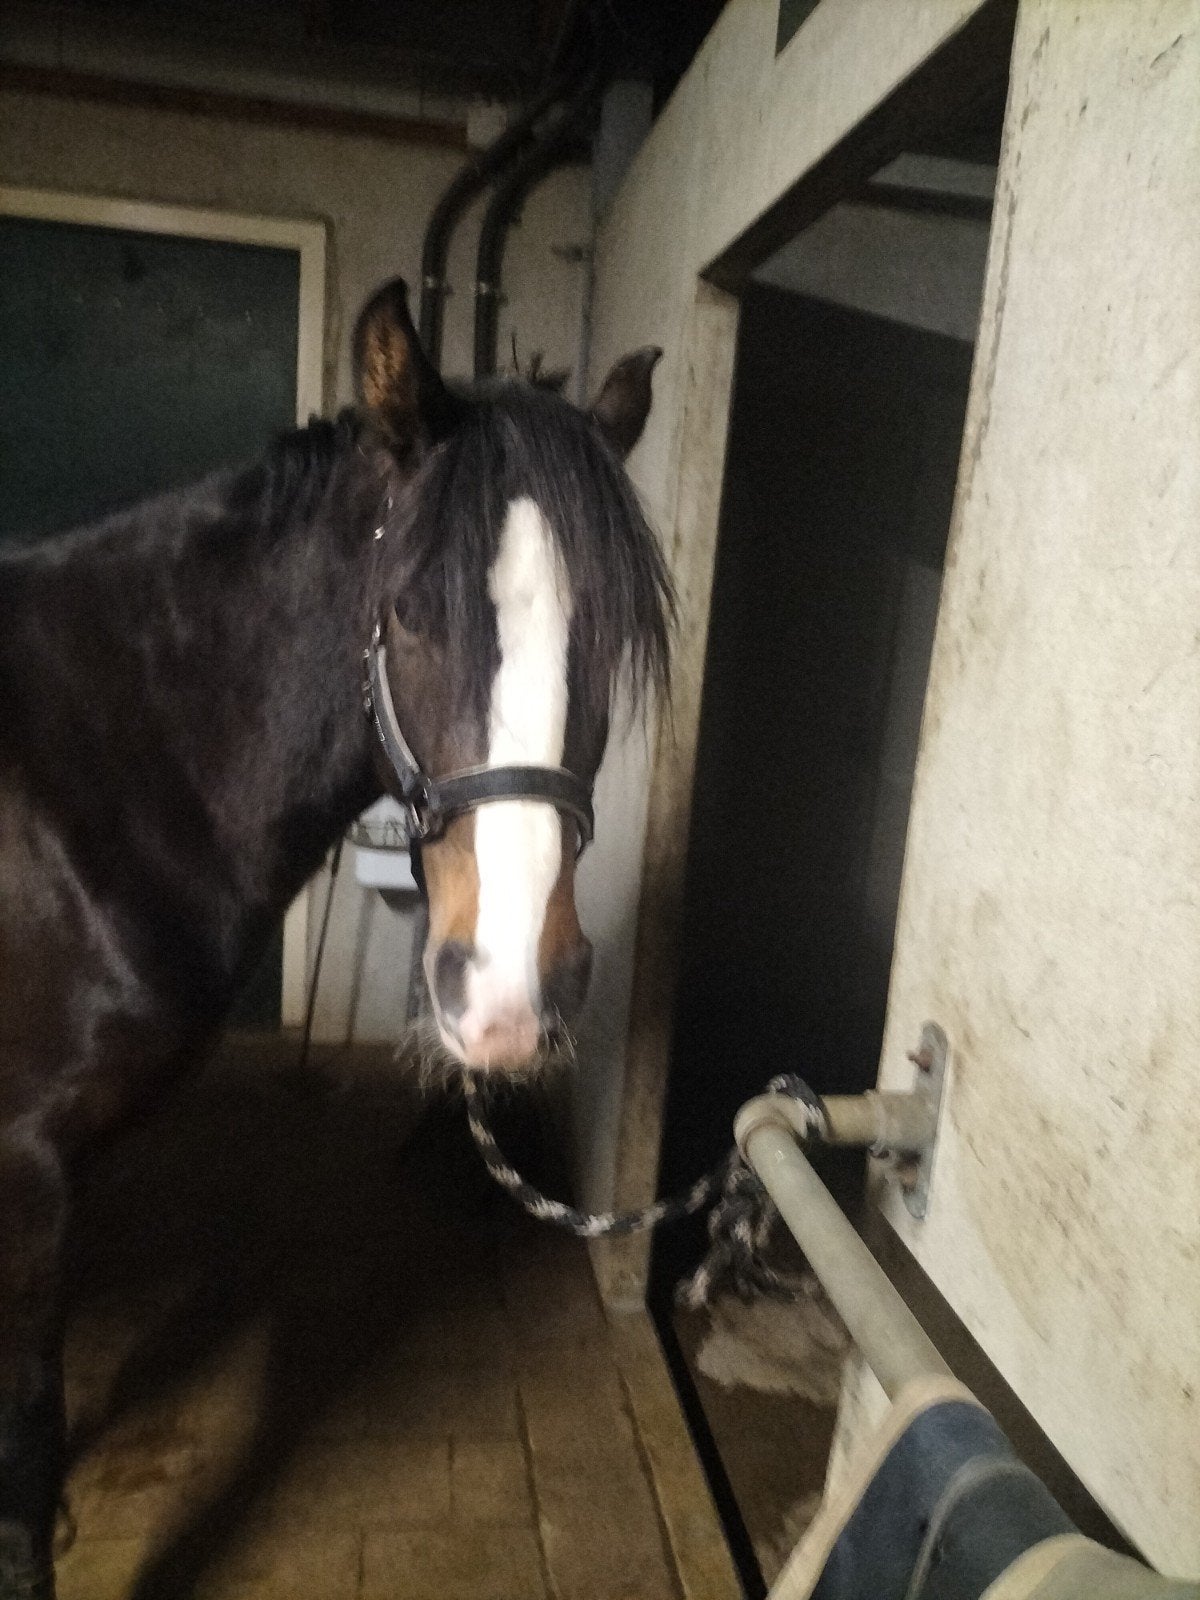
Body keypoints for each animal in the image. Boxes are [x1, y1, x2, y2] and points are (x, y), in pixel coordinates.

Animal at [0, 277, 670, 1598]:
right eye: (404, 613)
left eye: (610, 639)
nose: (508, 992)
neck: (85, 772)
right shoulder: (25, 1162)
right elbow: (30, 1425)